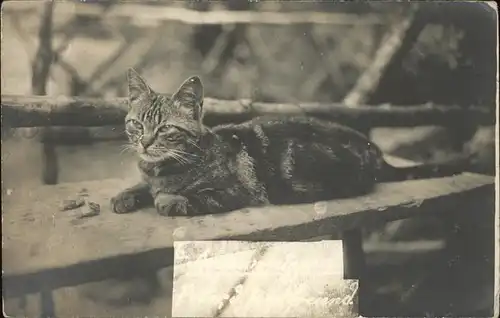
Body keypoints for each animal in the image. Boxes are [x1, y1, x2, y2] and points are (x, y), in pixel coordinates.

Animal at [109, 67, 468, 216]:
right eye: (137, 125)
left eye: (165, 129)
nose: (144, 143)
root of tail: (375, 150)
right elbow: (141, 186)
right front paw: (127, 193)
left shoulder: (233, 193)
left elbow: (183, 198)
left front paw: (167, 199)